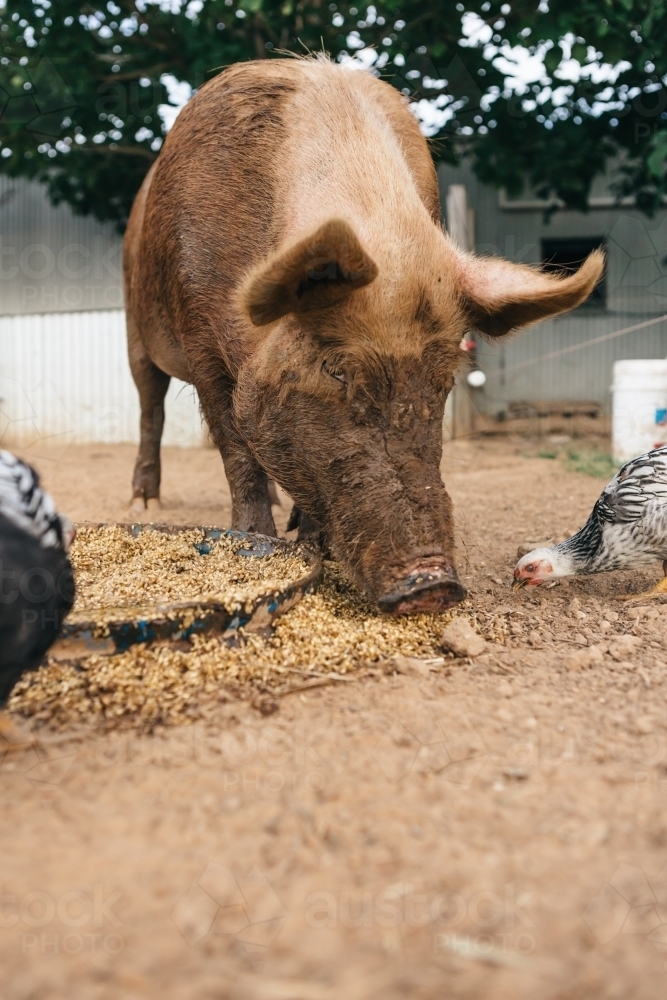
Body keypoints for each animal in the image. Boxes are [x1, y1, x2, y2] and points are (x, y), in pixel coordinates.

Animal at [124, 57, 603, 614]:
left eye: (444, 380)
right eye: (335, 370)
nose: (433, 585)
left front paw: (314, 546)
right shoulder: (199, 332)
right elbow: (233, 444)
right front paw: (255, 541)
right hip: (135, 324)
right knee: (149, 404)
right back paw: (142, 500)